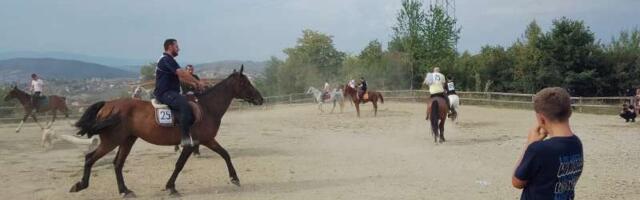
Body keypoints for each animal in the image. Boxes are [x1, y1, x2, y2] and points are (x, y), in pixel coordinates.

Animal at [67, 66, 262, 198]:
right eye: (245, 83)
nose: (260, 99)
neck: (206, 107)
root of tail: (108, 105)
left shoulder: (206, 140)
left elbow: (225, 154)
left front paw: (234, 178)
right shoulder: (192, 143)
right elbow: (179, 165)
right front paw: (171, 187)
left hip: (128, 140)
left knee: (117, 163)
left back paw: (125, 191)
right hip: (111, 141)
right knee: (90, 158)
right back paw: (80, 185)